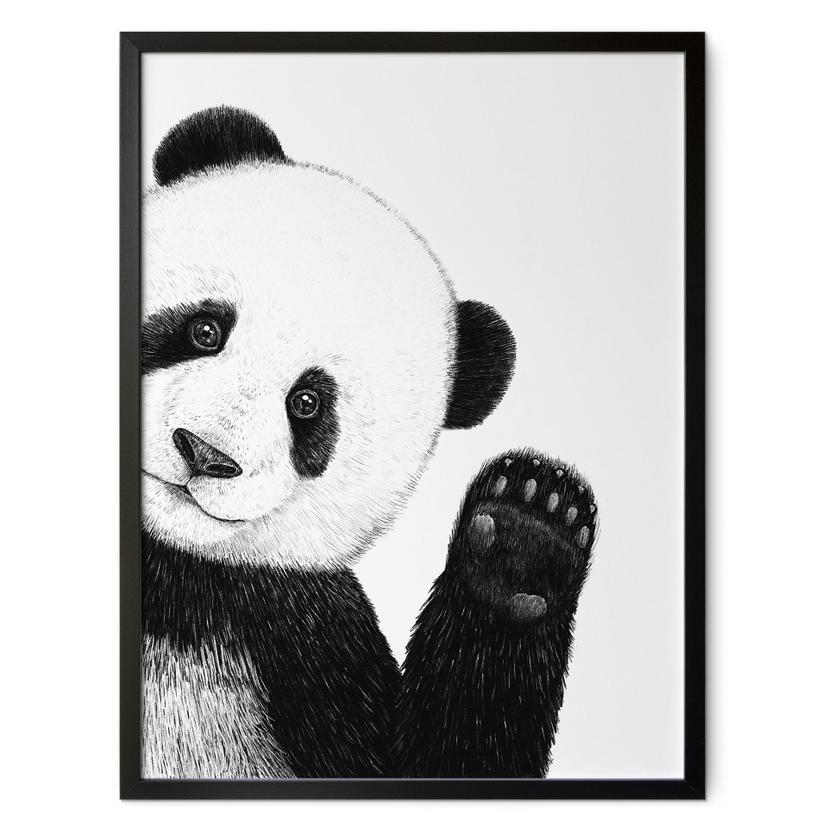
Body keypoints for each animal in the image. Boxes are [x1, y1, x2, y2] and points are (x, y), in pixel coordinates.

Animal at [141, 106, 598, 779]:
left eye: (307, 404)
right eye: (204, 329)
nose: (205, 453)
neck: (171, 572)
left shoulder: (302, 628)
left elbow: (429, 759)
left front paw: (528, 530)